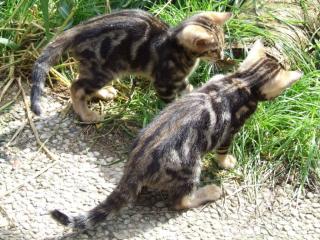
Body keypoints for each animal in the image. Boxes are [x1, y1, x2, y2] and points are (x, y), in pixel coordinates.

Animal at [31, 8, 231, 122]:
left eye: (223, 44)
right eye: (214, 50)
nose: (222, 56)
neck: (176, 46)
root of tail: (77, 30)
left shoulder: (179, 80)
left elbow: (188, 89)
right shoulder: (164, 82)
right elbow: (171, 102)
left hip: (94, 68)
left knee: (81, 81)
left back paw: (104, 92)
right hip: (105, 70)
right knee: (76, 87)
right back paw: (87, 115)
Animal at [50, 40, 302, 230]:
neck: (242, 80)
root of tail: (135, 168)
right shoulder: (230, 129)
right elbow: (223, 151)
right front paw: (227, 162)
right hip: (190, 167)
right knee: (180, 202)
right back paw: (211, 191)